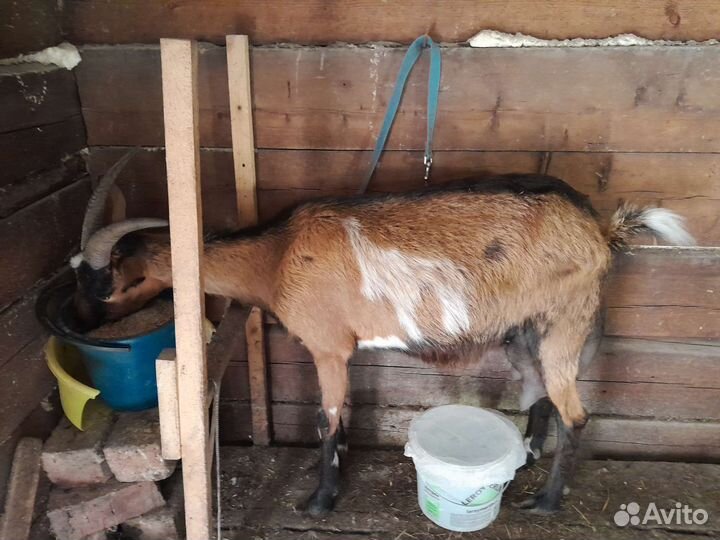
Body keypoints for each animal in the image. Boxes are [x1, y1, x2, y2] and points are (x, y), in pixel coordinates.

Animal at [71, 151, 694, 515]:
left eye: (106, 279)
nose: (81, 320)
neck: (276, 255)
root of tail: (602, 230)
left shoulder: (327, 346)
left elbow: (325, 419)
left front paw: (319, 500)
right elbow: (339, 417)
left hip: (563, 321)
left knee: (576, 415)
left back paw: (544, 503)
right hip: (522, 332)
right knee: (538, 392)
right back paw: (527, 455)